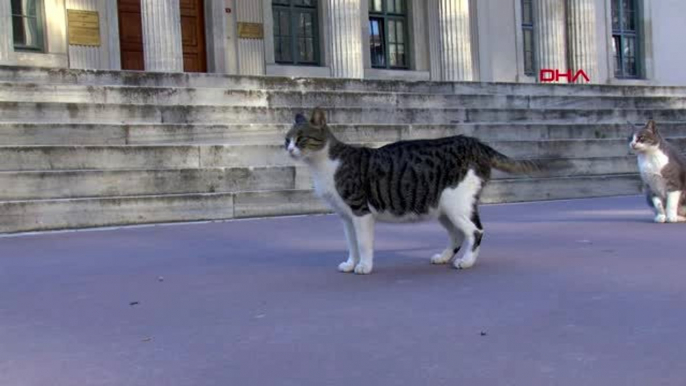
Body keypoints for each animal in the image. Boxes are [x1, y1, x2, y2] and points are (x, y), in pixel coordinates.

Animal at [288, 109, 544, 274]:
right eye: (286, 139)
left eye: (301, 139)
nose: (289, 150)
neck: (322, 165)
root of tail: (475, 142)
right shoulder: (345, 216)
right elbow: (351, 244)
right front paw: (351, 264)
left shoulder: (360, 211)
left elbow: (363, 243)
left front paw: (364, 266)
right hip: (442, 207)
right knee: (457, 234)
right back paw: (444, 257)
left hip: (457, 203)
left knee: (476, 231)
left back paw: (466, 261)